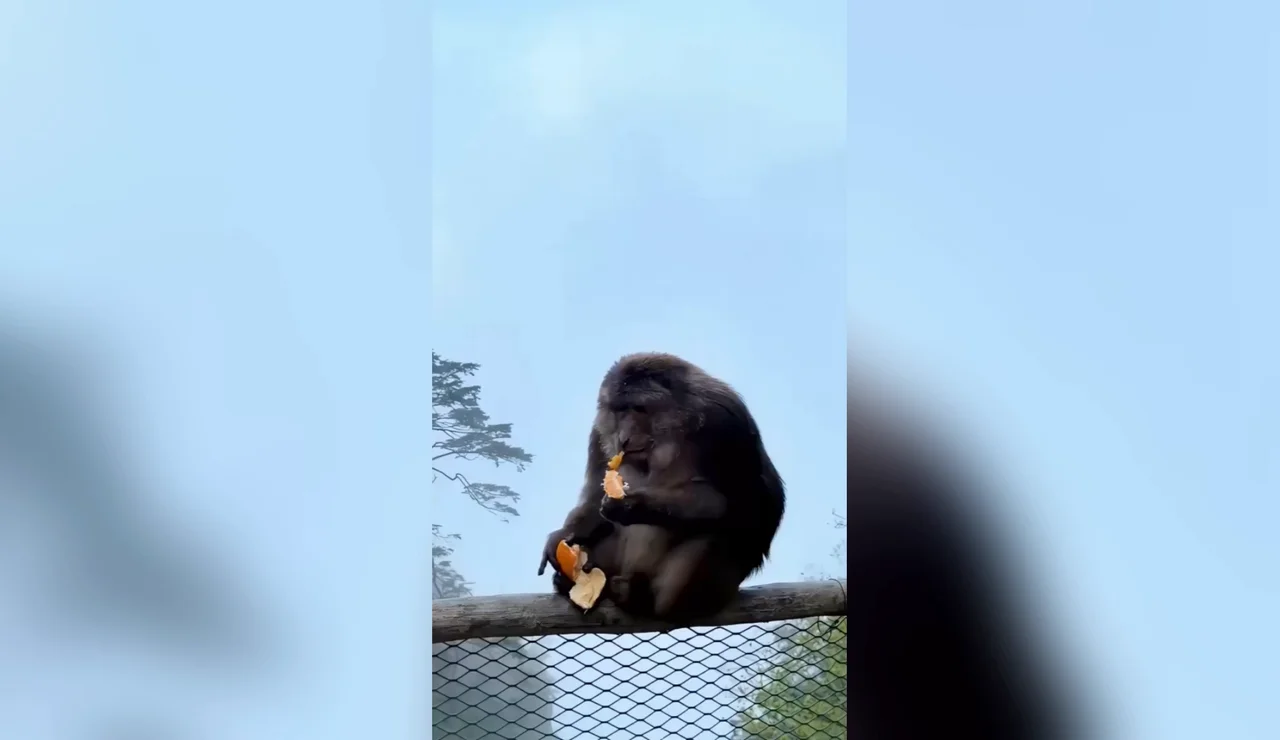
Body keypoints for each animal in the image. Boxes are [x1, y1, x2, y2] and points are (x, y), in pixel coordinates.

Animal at [537, 352, 786, 622]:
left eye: (638, 408)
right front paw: (563, 535)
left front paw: (632, 505)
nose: (623, 438)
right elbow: (594, 495)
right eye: (619, 410)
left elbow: (747, 508)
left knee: (720, 533)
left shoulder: (726, 425)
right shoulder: (599, 431)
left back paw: (639, 600)